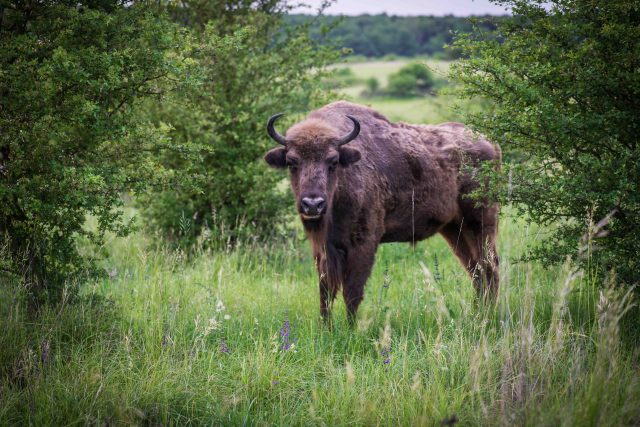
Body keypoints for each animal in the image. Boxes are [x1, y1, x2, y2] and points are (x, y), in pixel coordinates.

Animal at [264, 101, 500, 324]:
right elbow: (326, 293)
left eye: (333, 161)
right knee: (475, 270)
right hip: (454, 229)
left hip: (481, 224)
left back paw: (488, 317)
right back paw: (478, 315)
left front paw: (350, 329)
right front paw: (326, 329)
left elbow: (352, 292)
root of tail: (490, 143)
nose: (312, 204)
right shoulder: (323, 250)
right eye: (291, 162)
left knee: (490, 267)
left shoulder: (364, 244)